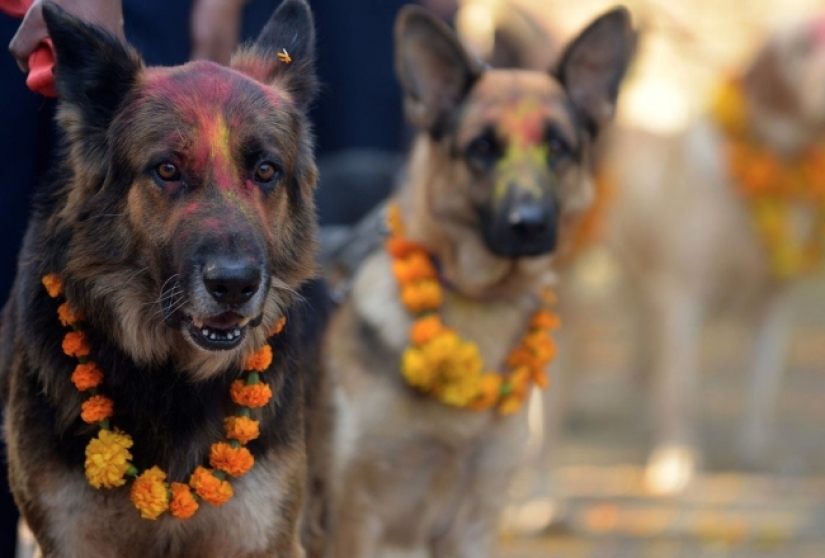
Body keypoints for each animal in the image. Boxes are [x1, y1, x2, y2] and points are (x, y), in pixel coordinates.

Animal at [322, 5, 632, 558]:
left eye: (557, 147)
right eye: (482, 148)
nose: (529, 225)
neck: (477, 300)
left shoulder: (473, 519)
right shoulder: (352, 519)